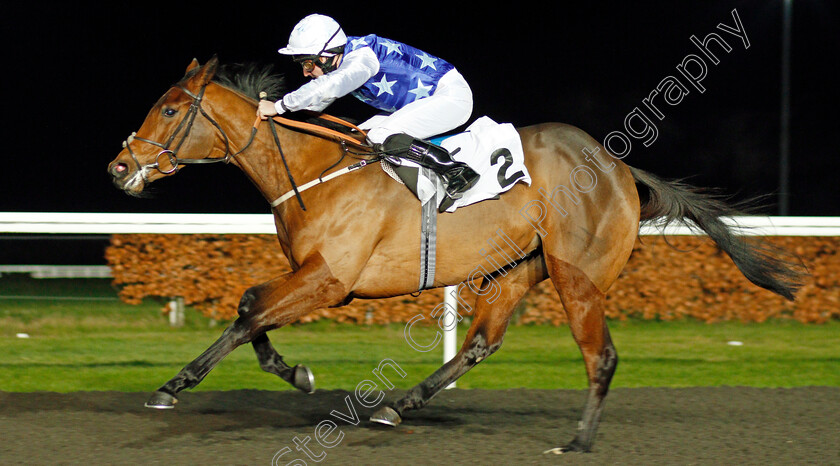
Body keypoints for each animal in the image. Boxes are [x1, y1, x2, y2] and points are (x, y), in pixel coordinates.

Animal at [108, 56, 804, 454]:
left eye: (170, 108)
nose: (119, 167)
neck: (315, 170)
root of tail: (618, 166)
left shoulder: (331, 279)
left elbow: (251, 309)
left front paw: (171, 387)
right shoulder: (313, 276)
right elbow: (253, 307)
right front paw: (297, 372)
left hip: (577, 275)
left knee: (600, 356)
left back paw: (578, 441)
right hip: (514, 270)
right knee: (480, 343)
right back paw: (397, 405)